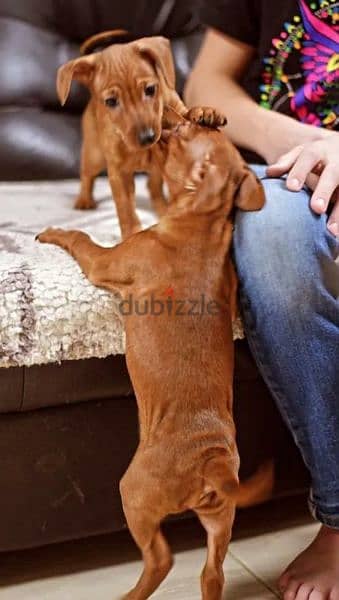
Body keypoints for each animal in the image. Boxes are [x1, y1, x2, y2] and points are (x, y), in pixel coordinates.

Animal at [57, 30, 228, 237]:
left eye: (150, 89)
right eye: (111, 101)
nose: (148, 137)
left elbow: (187, 113)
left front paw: (205, 112)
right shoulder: (119, 173)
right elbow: (126, 210)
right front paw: (131, 234)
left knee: (153, 187)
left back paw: (162, 208)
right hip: (94, 155)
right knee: (86, 176)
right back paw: (84, 199)